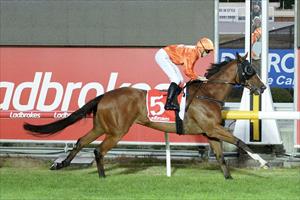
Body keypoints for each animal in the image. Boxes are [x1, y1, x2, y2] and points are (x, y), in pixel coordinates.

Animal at [23, 52, 268, 179]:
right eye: (250, 70)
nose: (263, 87)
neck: (208, 95)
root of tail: (104, 96)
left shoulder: (210, 133)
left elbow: (220, 157)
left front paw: (229, 179)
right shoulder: (213, 128)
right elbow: (239, 141)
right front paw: (262, 163)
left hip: (101, 126)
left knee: (81, 141)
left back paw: (61, 165)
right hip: (117, 131)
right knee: (98, 150)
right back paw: (102, 177)